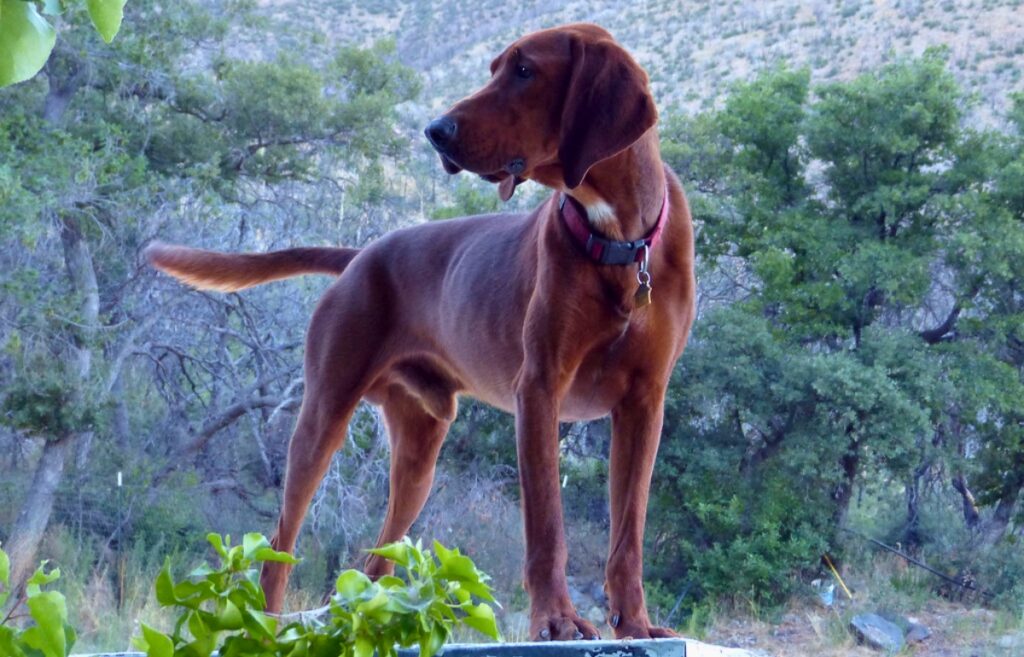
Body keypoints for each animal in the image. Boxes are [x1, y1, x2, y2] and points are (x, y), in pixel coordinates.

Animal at [148, 23, 696, 638]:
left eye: (525, 70)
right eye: (494, 68)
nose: (436, 130)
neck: (620, 241)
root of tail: (361, 256)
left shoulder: (644, 405)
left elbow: (629, 535)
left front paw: (637, 625)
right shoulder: (540, 389)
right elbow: (547, 529)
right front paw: (556, 620)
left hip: (419, 453)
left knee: (375, 562)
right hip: (322, 420)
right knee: (279, 545)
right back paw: (265, 626)